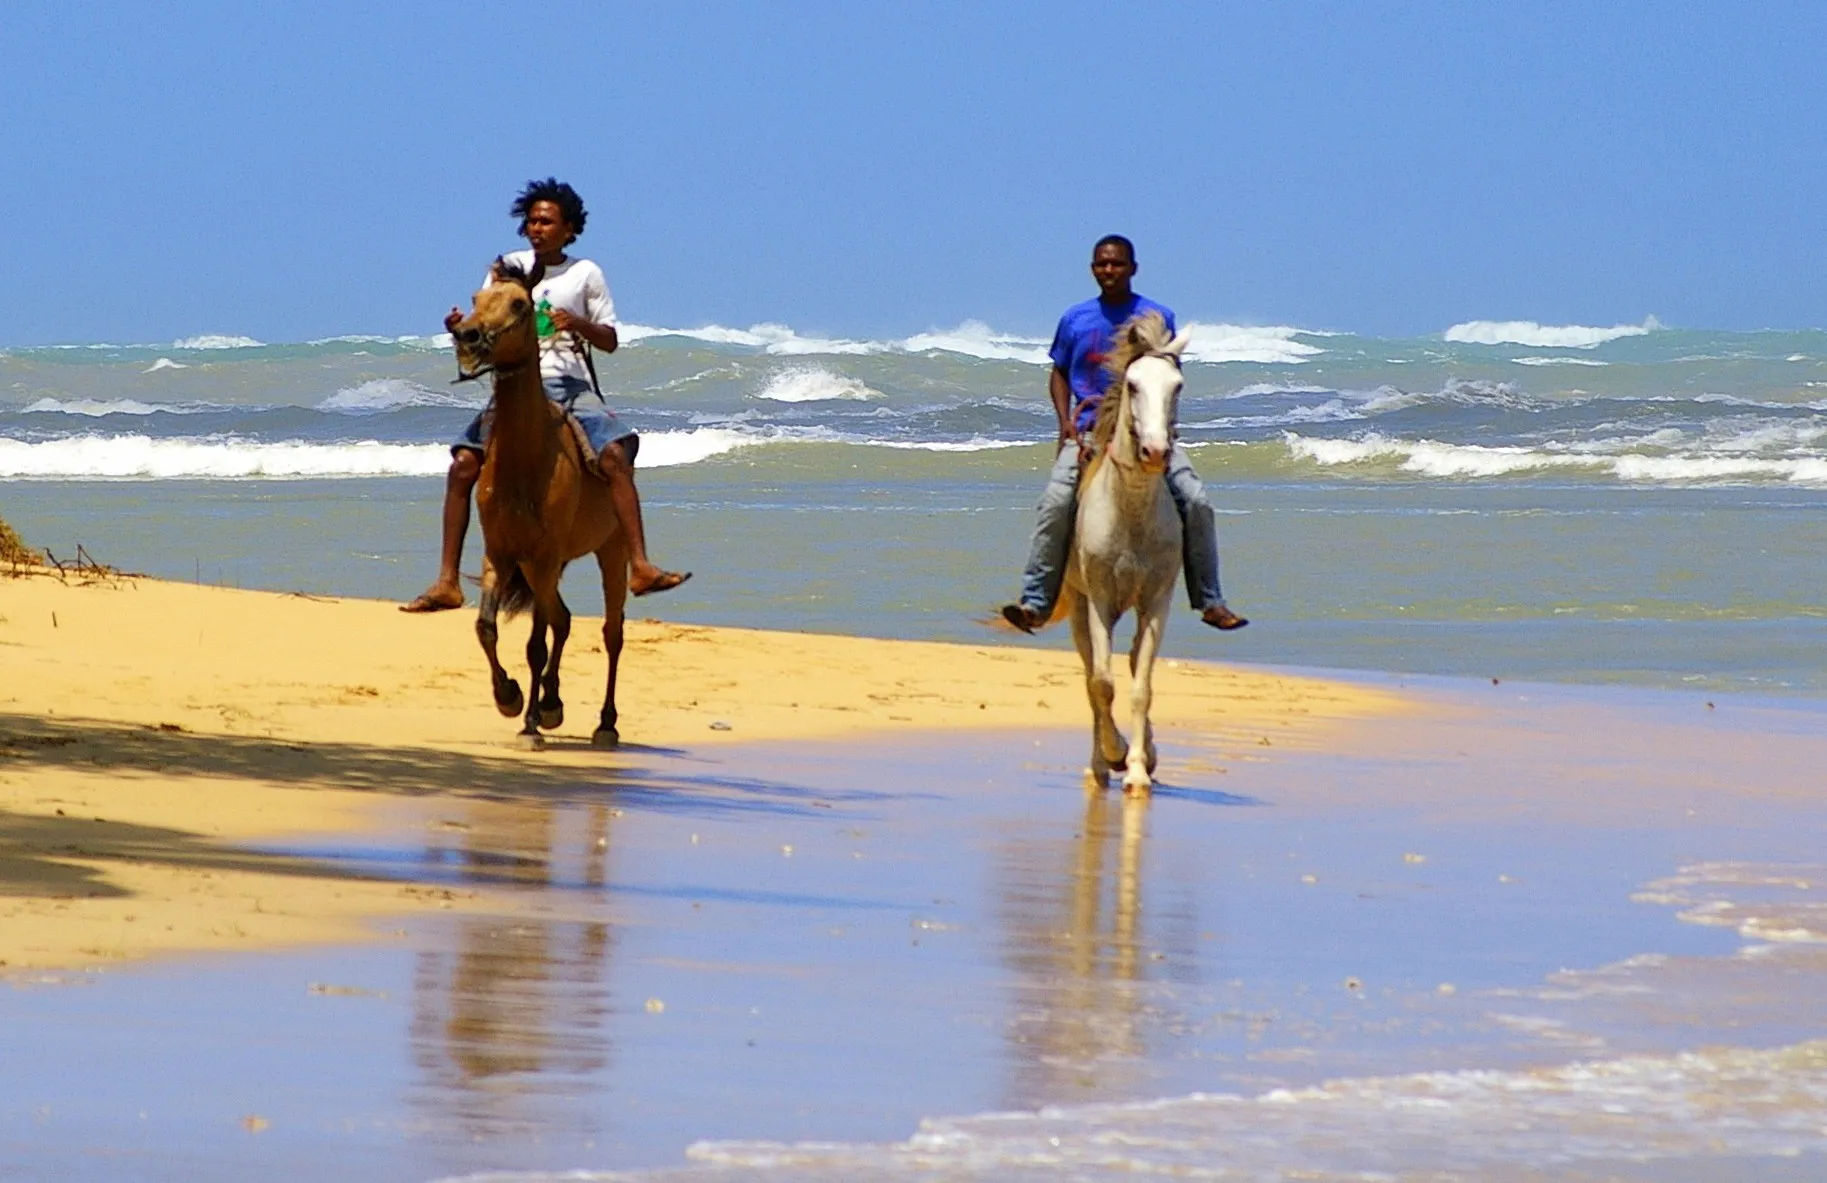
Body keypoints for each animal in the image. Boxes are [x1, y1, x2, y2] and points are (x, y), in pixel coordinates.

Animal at [450, 259, 629, 750]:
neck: (528, 460)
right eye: (474, 299)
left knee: (611, 632)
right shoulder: (501, 552)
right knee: (562, 619)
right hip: (538, 566)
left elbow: (536, 643)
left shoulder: (545, 557)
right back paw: (552, 703)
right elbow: (486, 627)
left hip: (611, 551)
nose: (466, 335)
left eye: (519, 304)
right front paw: (510, 697)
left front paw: (529, 723)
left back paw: (605, 723)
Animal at [1060, 311, 1191, 793]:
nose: (1154, 451)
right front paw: (1114, 755)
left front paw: (1137, 767)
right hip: (1077, 603)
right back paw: (1098, 765)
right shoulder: (1099, 599)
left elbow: (1141, 685)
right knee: (1090, 675)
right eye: (1132, 384)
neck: (1130, 509)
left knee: (1132, 662)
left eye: (1177, 385)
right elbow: (1102, 683)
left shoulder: (1156, 601)